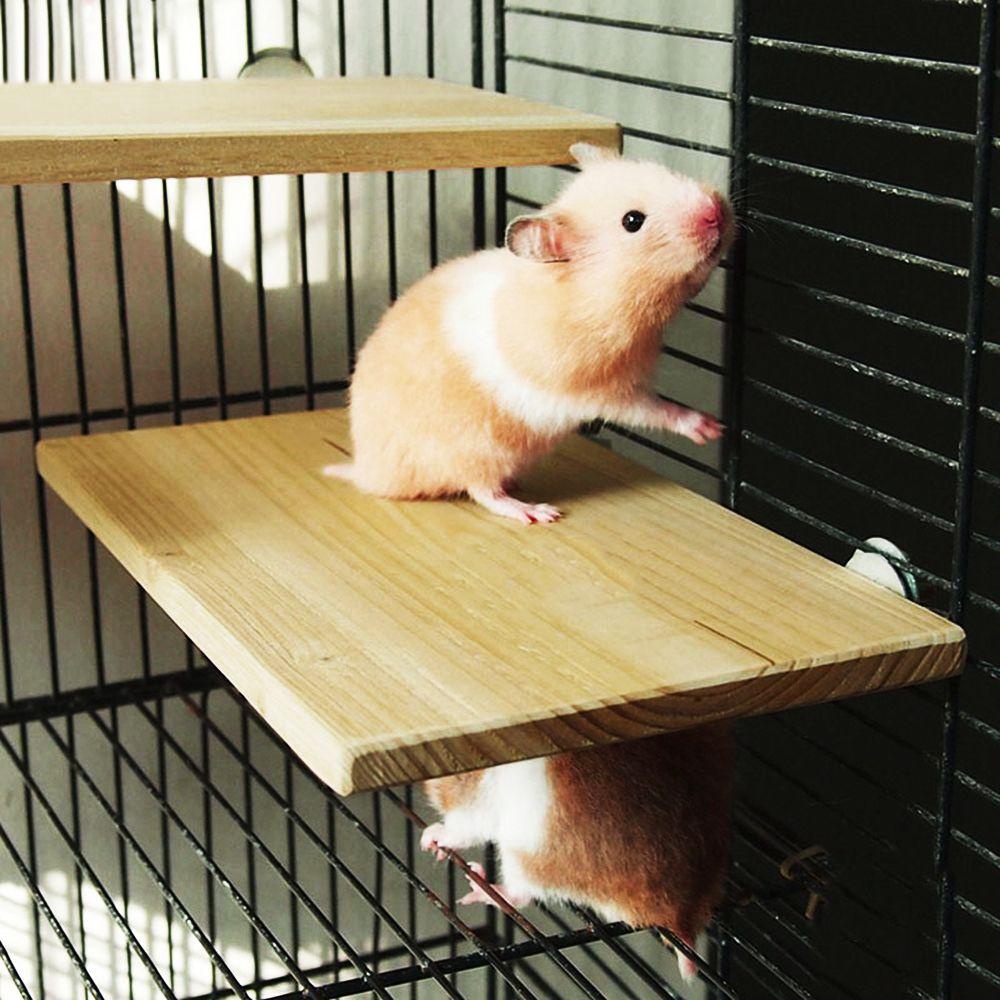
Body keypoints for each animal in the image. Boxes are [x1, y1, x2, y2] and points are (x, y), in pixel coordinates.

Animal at [324, 142, 733, 523]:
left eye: (662, 169)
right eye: (633, 221)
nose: (716, 209)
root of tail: (368, 471)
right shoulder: (604, 389)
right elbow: (654, 410)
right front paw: (712, 429)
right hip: (477, 449)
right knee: (482, 490)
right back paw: (535, 511)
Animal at [421, 724, 733, 982]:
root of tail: (680, 918)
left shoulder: (471, 797)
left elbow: (460, 826)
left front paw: (429, 840)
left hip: (524, 853)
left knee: (518, 895)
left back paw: (476, 885)